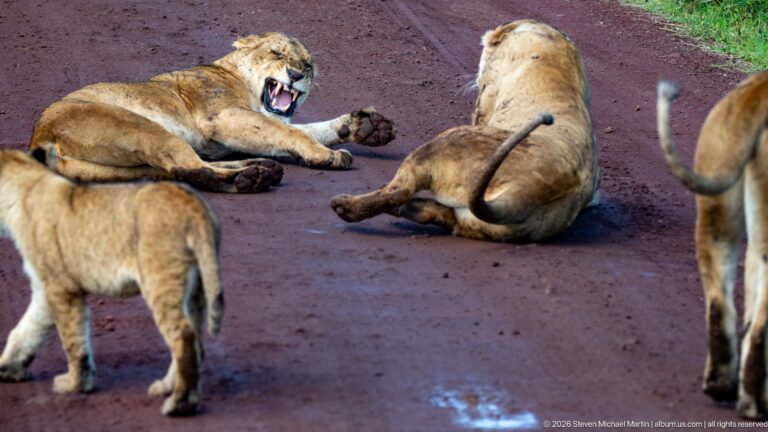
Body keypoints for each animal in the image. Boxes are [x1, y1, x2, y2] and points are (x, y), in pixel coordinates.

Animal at [0, 150, 223, 416]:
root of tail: (193, 203)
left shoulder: (62, 287)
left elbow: (72, 338)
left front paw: (76, 384)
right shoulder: (45, 288)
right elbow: (26, 329)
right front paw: (8, 367)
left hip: (161, 279)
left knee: (183, 336)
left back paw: (180, 404)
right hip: (195, 287)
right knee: (195, 339)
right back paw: (167, 387)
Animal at [28, 32, 395, 193]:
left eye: (307, 64)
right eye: (277, 53)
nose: (296, 74)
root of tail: (38, 137)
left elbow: (303, 129)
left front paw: (366, 127)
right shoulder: (221, 117)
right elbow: (290, 132)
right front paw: (326, 156)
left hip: (121, 166)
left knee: (180, 169)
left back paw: (259, 169)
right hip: (141, 128)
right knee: (187, 168)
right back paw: (254, 178)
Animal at [330, 20, 599, 242]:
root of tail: (527, 195)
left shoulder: (486, 97)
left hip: (445, 143)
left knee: (399, 189)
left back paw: (344, 205)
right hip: (487, 225)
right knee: (439, 215)